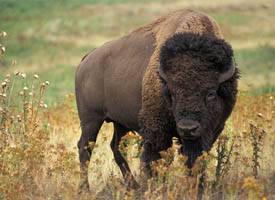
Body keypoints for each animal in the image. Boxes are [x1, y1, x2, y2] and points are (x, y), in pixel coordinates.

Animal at [75, 8, 239, 190]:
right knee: (85, 147)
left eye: (210, 93)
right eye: (172, 93)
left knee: (116, 147)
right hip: (91, 119)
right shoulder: (157, 131)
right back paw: (85, 189)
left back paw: (134, 186)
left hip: (120, 122)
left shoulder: (209, 132)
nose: (187, 128)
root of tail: (87, 58)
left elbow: (194, 160)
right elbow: (155, 160)